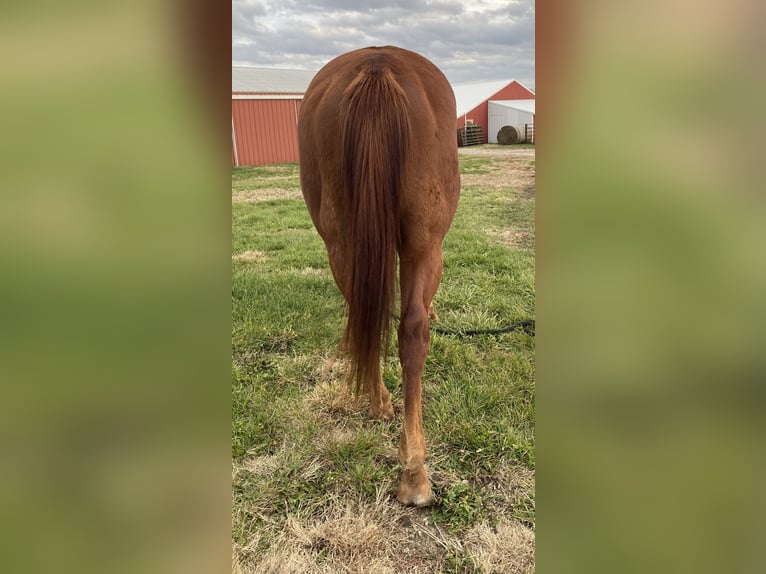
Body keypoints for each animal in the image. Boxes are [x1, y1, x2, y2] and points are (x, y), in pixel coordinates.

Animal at [296, 46, 460, 508]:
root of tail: (378, 64)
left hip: (340, 241)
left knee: (362, 314)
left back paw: (380, 404)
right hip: (425, 243)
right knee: (412, 331)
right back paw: (414, 472)